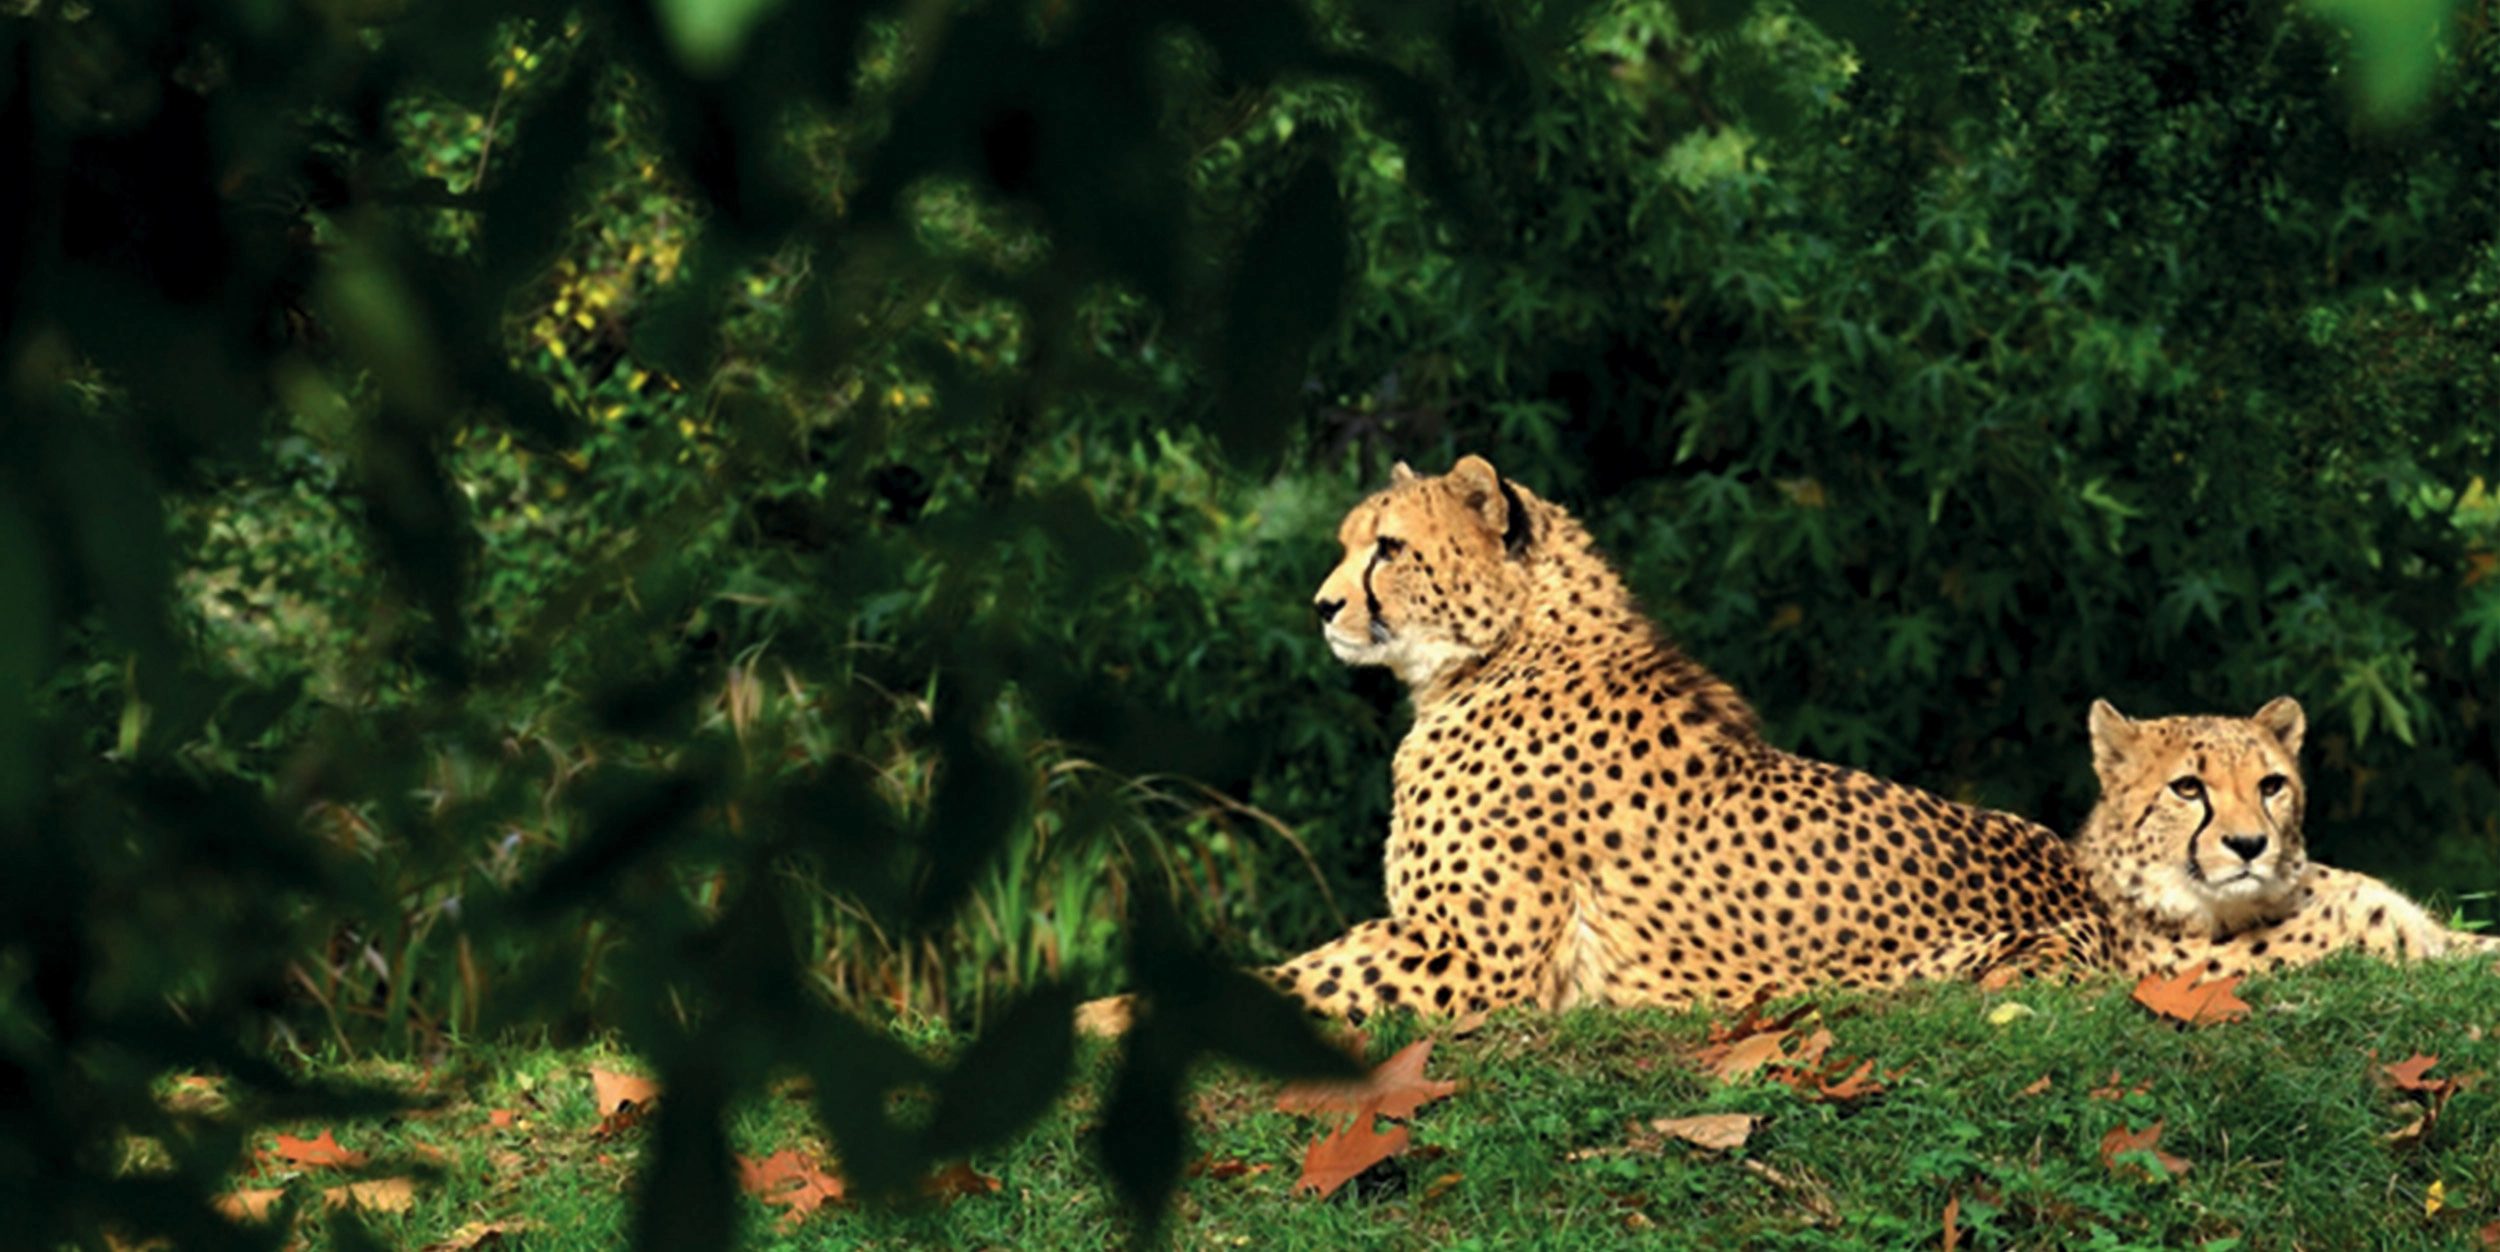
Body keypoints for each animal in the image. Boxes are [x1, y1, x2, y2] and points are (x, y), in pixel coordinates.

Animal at [1081, 455, 2113, 1034]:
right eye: (1346, 544)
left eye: (1389, 549)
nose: (1324, 606)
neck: (1502, 650)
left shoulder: (1466, 954)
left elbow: (1279, 985)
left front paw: (1105, 1016)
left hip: (1985, 962)